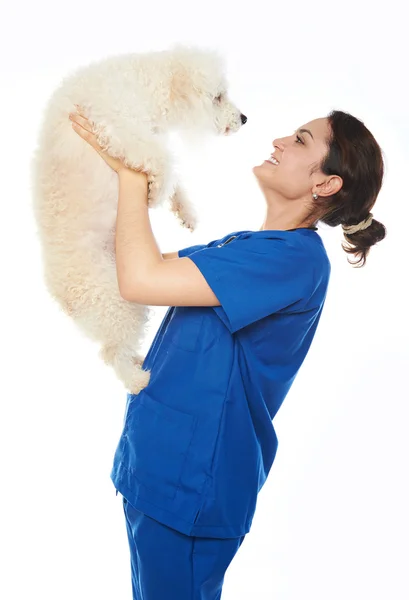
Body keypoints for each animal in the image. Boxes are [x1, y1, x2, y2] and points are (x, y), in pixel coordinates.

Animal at [31, 45, 245, 394]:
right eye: (218, 97)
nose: (244, 118)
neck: (144, 82)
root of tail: (60, 294)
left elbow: (173, 177)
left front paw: (184, 210)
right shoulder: (121, 131)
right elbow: (164, 160)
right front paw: (154, 196)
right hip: (116, 303)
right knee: (111, 352)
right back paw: (137, 380)